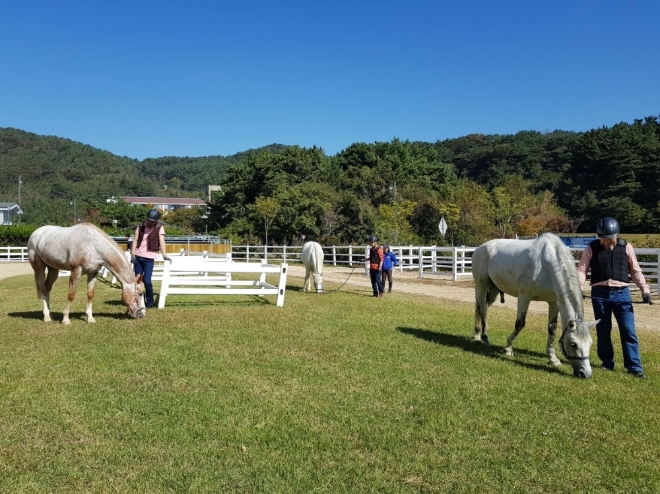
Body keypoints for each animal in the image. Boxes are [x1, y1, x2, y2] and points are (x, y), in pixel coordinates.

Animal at [470, 233, 600, 376]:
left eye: (590, 344)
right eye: (573, 344)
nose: (585, 373)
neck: (546, 264)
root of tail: (480, 248)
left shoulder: (554, 302)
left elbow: (552, 328)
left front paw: (553, 358)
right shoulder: (524, 297)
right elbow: (520, 324)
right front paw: (508, 348)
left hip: (494, 290)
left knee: (481, 308)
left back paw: (477, 334)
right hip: (482, 285)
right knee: (483, 310)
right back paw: (484, 338)